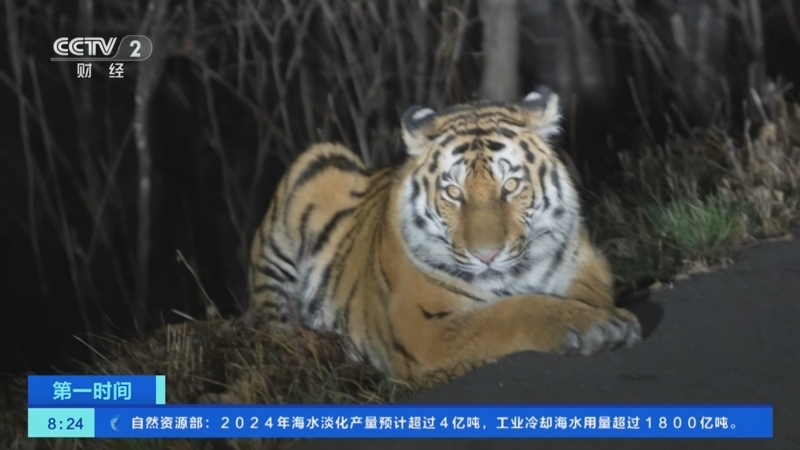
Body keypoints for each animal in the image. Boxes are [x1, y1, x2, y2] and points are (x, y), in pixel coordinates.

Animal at [248, 85, 642, 381]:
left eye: (511, 186)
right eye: (454, 192)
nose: (486, 255)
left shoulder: (585, 262)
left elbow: (587, 293)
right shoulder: (423, 328)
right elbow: (509, 313)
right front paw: (594, 327)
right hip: (316, 166)